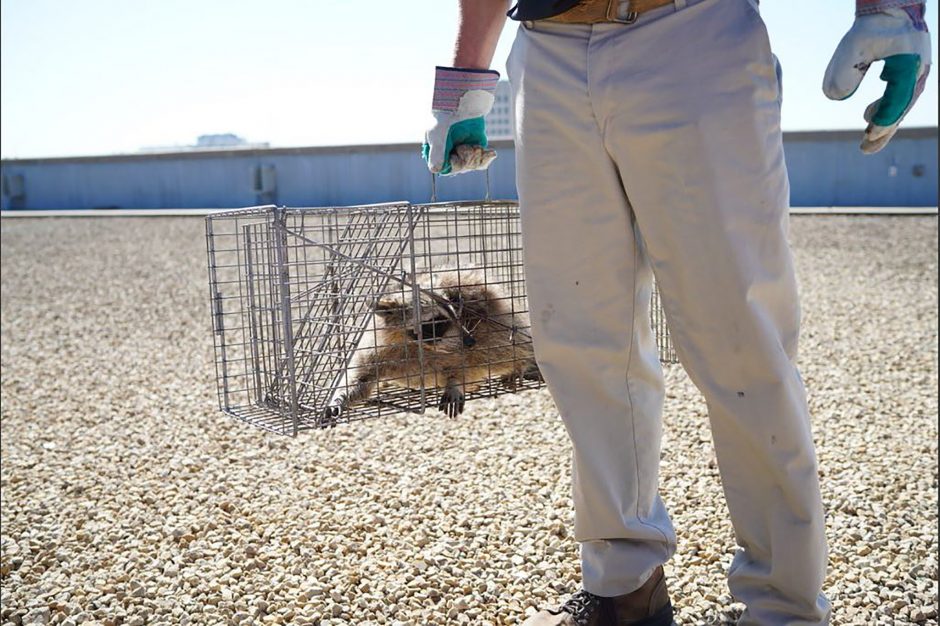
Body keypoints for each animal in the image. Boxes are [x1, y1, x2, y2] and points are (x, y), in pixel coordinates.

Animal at [324, 266, 540, 422]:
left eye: (455, 312)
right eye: (436, 322)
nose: (470, 341)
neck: (416, 345)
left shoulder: (460, 349)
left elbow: (463, 367)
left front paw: (455, 384)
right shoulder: (375, 350)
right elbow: (359, 379)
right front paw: (338, 398)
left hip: (496, 325)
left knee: (507, 347)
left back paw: (523, 364)